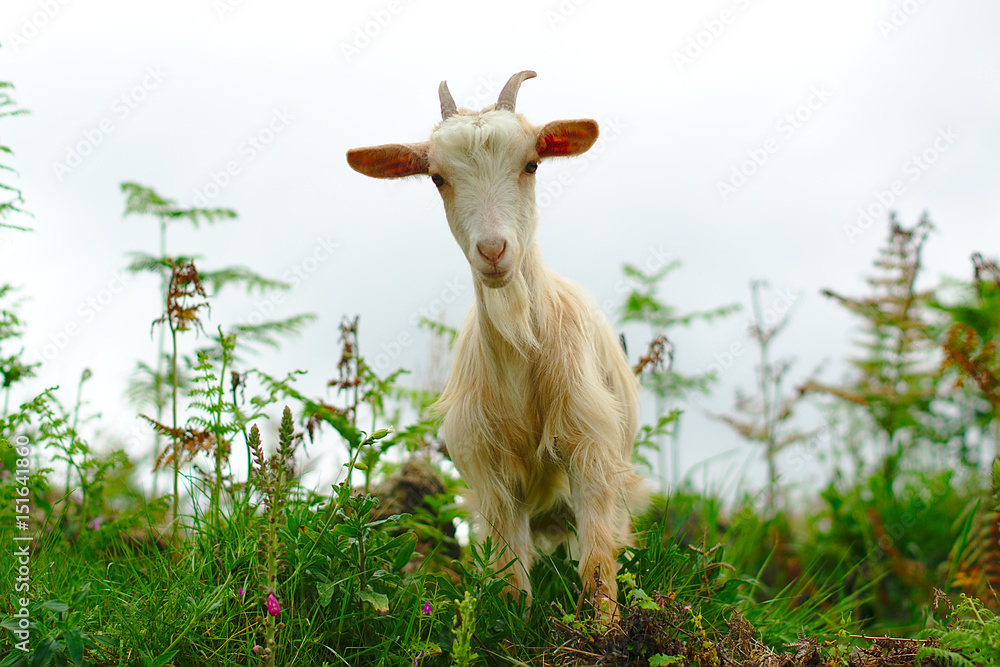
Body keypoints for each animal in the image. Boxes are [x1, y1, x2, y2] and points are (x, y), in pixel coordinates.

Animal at [346, 71, 647, 612]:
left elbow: (598, 562)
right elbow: (509, 574)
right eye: (437, 177)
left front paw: (606, 622)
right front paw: (514, 618)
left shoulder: (590, 442)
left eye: (532, 164)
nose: (492, 251)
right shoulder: (490, 471)